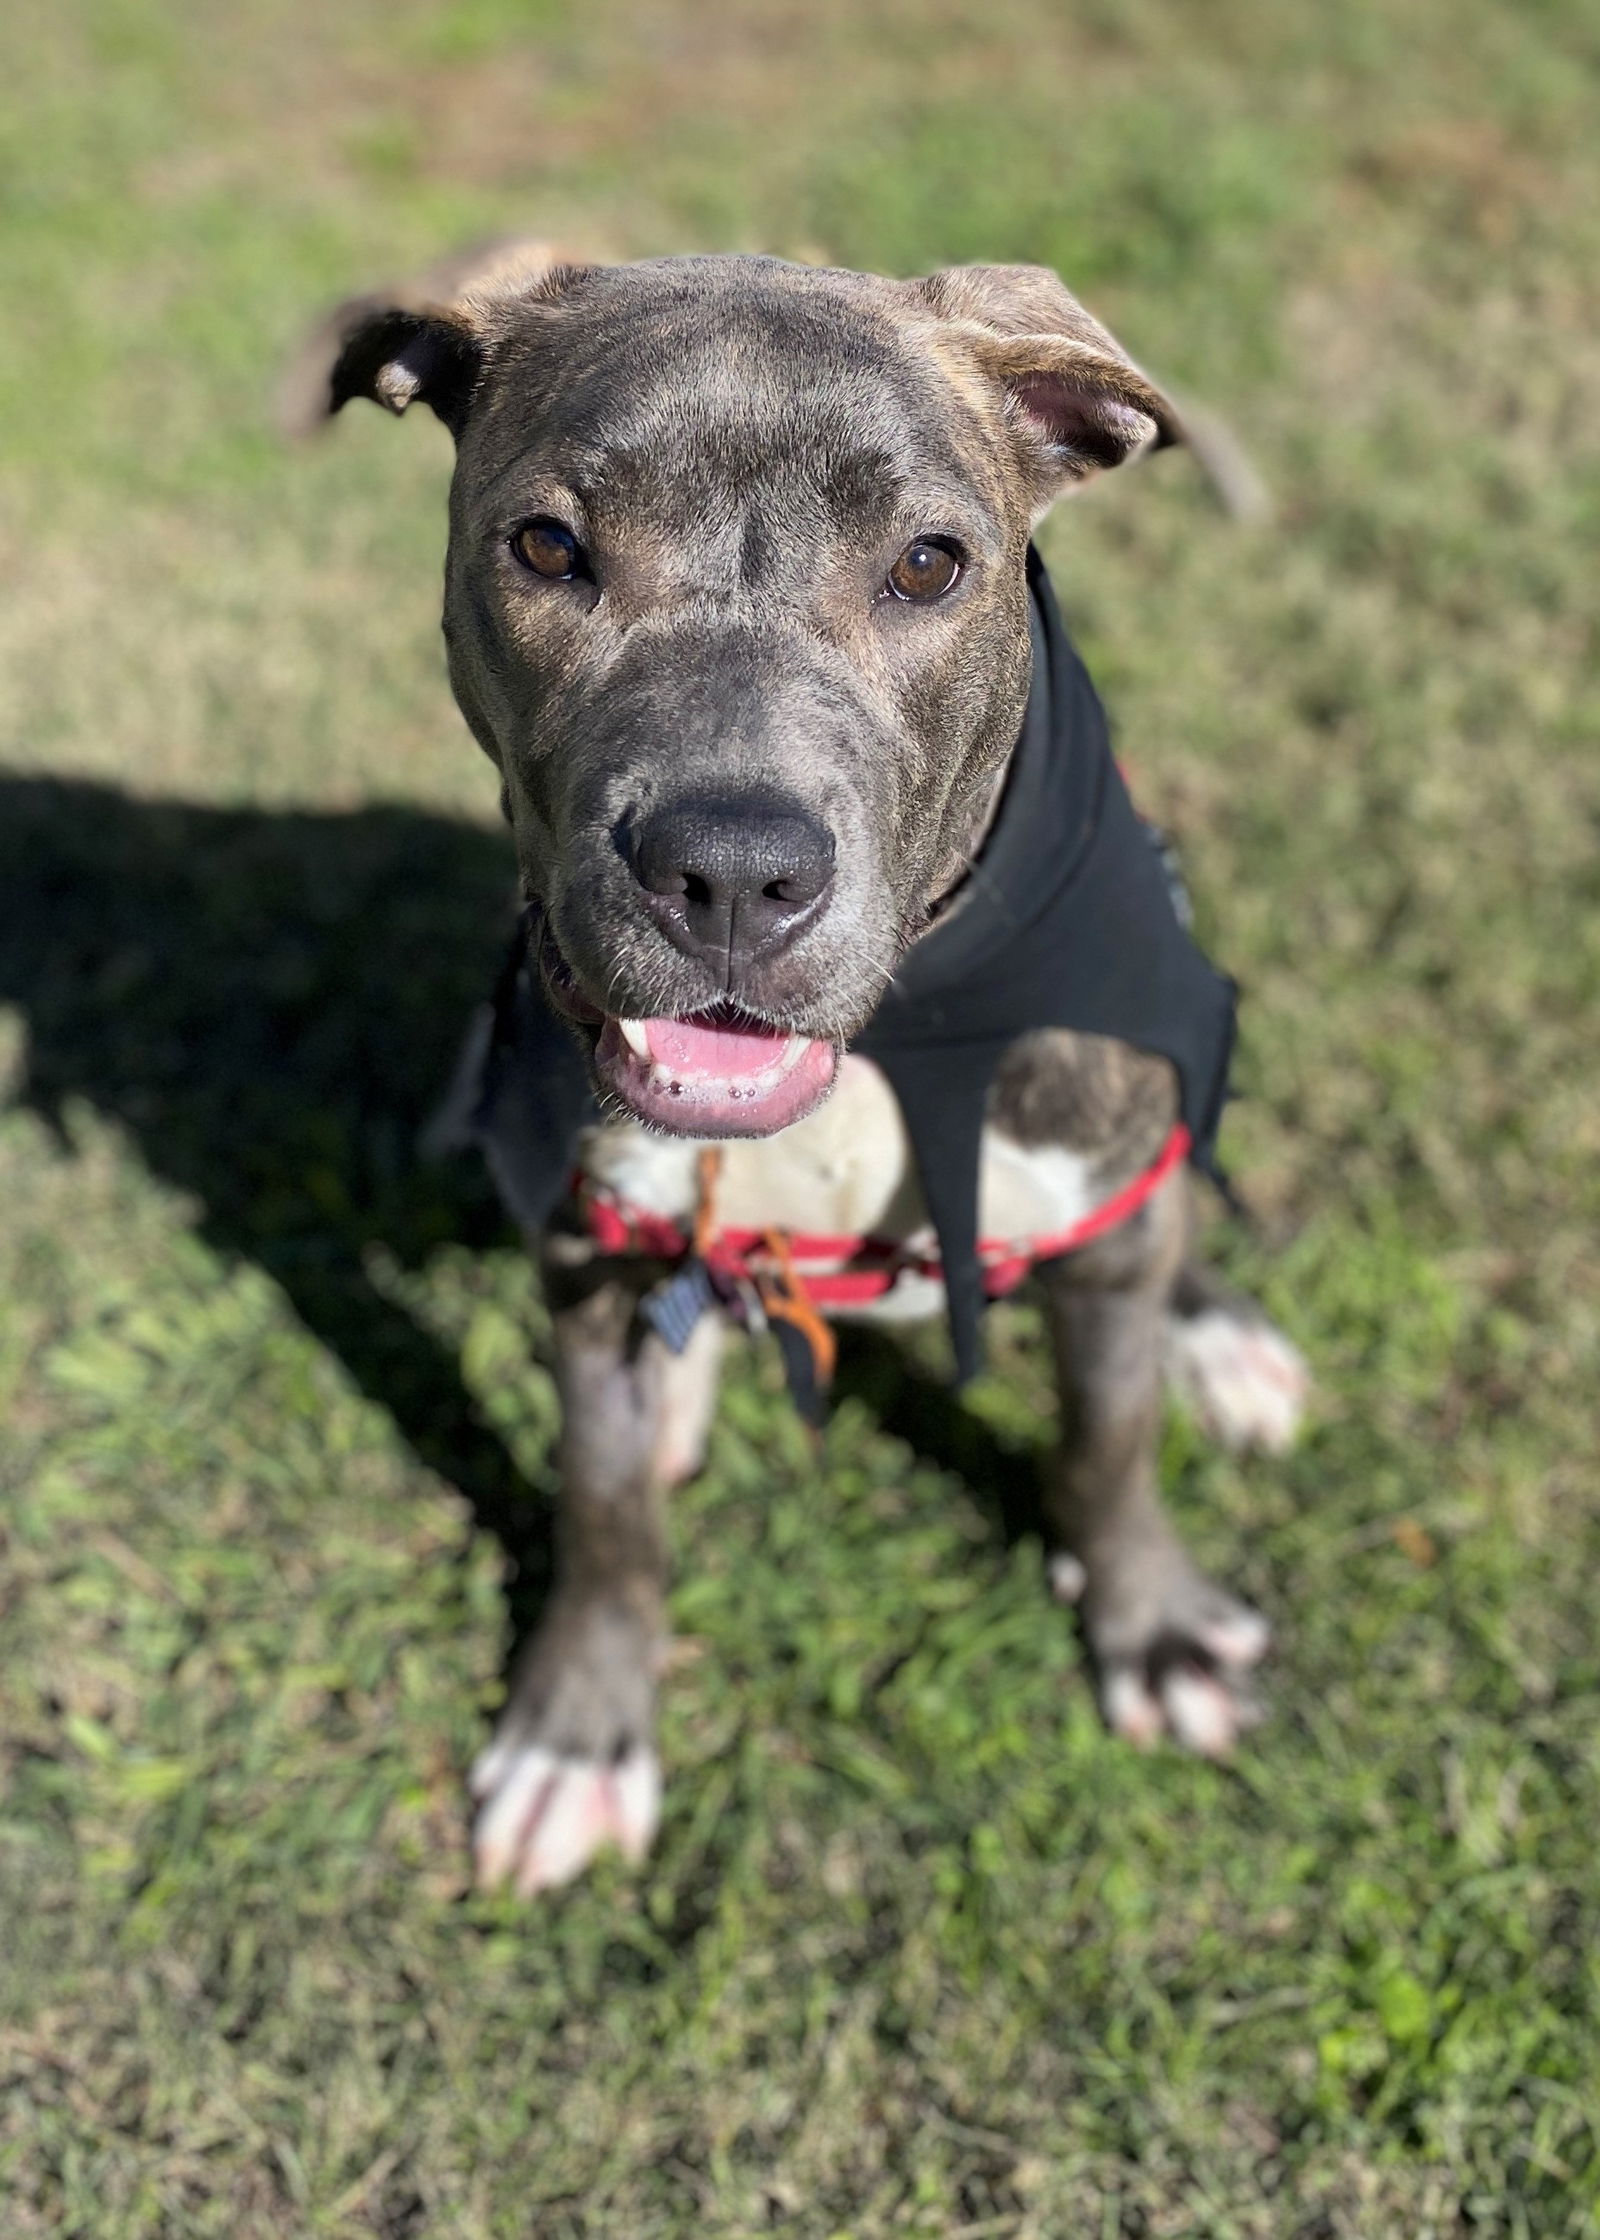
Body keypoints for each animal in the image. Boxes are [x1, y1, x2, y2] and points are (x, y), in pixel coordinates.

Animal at [293, 245, 1299, 1890]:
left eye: (930, 566)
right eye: (550, 546)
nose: (728, 871)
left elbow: (1109, 1437)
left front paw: (1148, 1625)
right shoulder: (583, 1251)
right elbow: (606, 1509)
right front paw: (578, 1731)